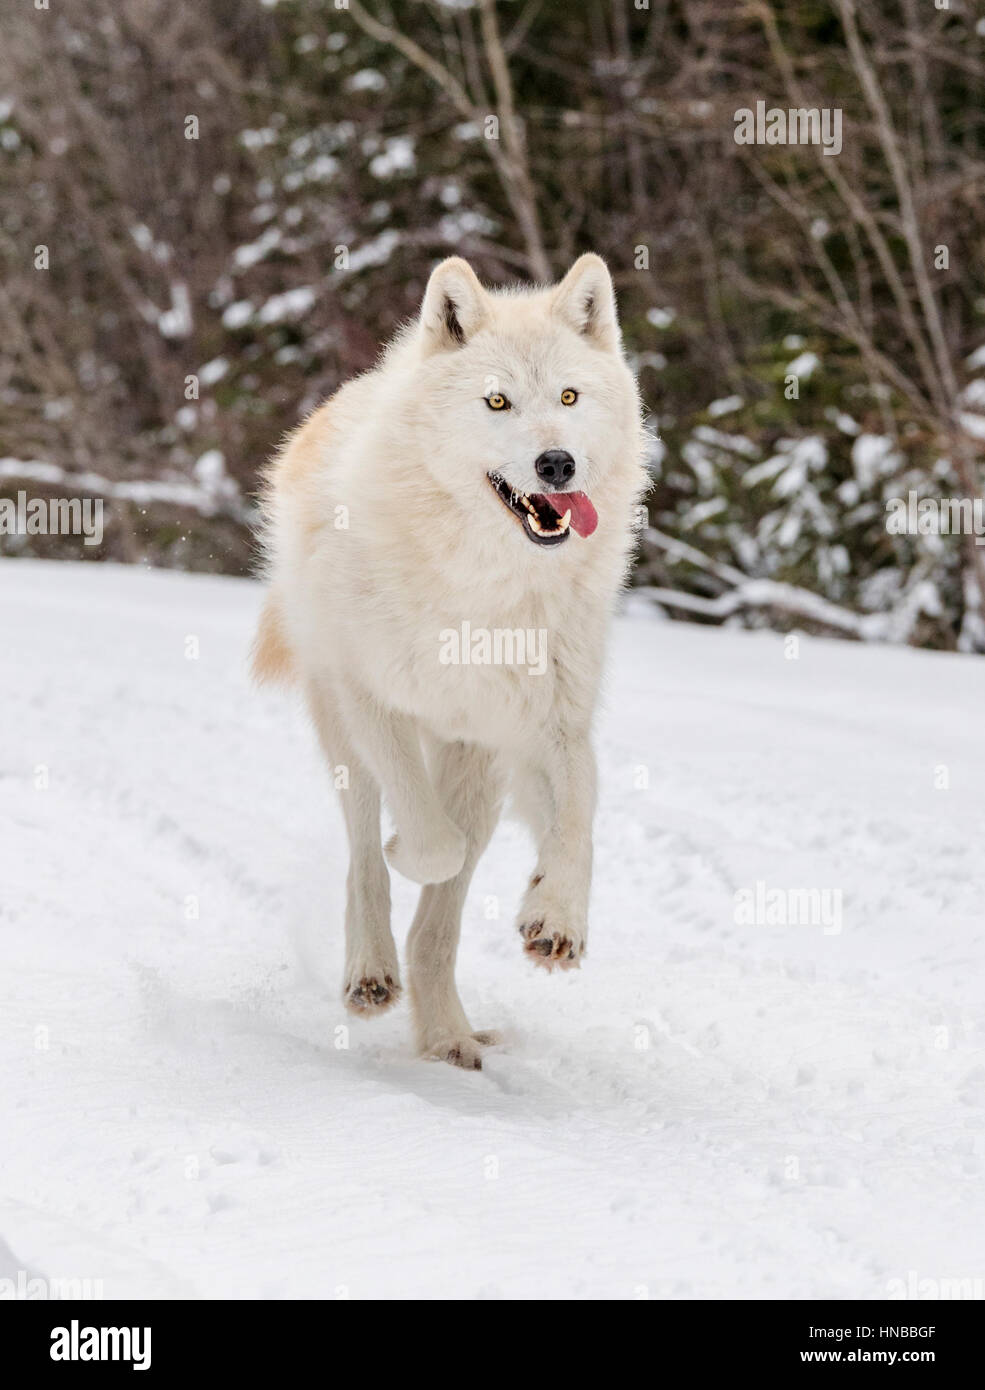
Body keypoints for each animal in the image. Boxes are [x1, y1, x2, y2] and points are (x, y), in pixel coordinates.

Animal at [253, 254, 646, 1068]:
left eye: (569, 396)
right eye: (497, 401)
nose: (556, 462)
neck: (484, 588)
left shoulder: (549, 725)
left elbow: (578, 822)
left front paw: (555, 917)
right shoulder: (374, 700)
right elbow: (427, 846)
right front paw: (409, 848)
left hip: (479, 771)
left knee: (439, 922)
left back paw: (447, 1038)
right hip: (344, 731)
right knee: (367, 856)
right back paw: (372, 974)